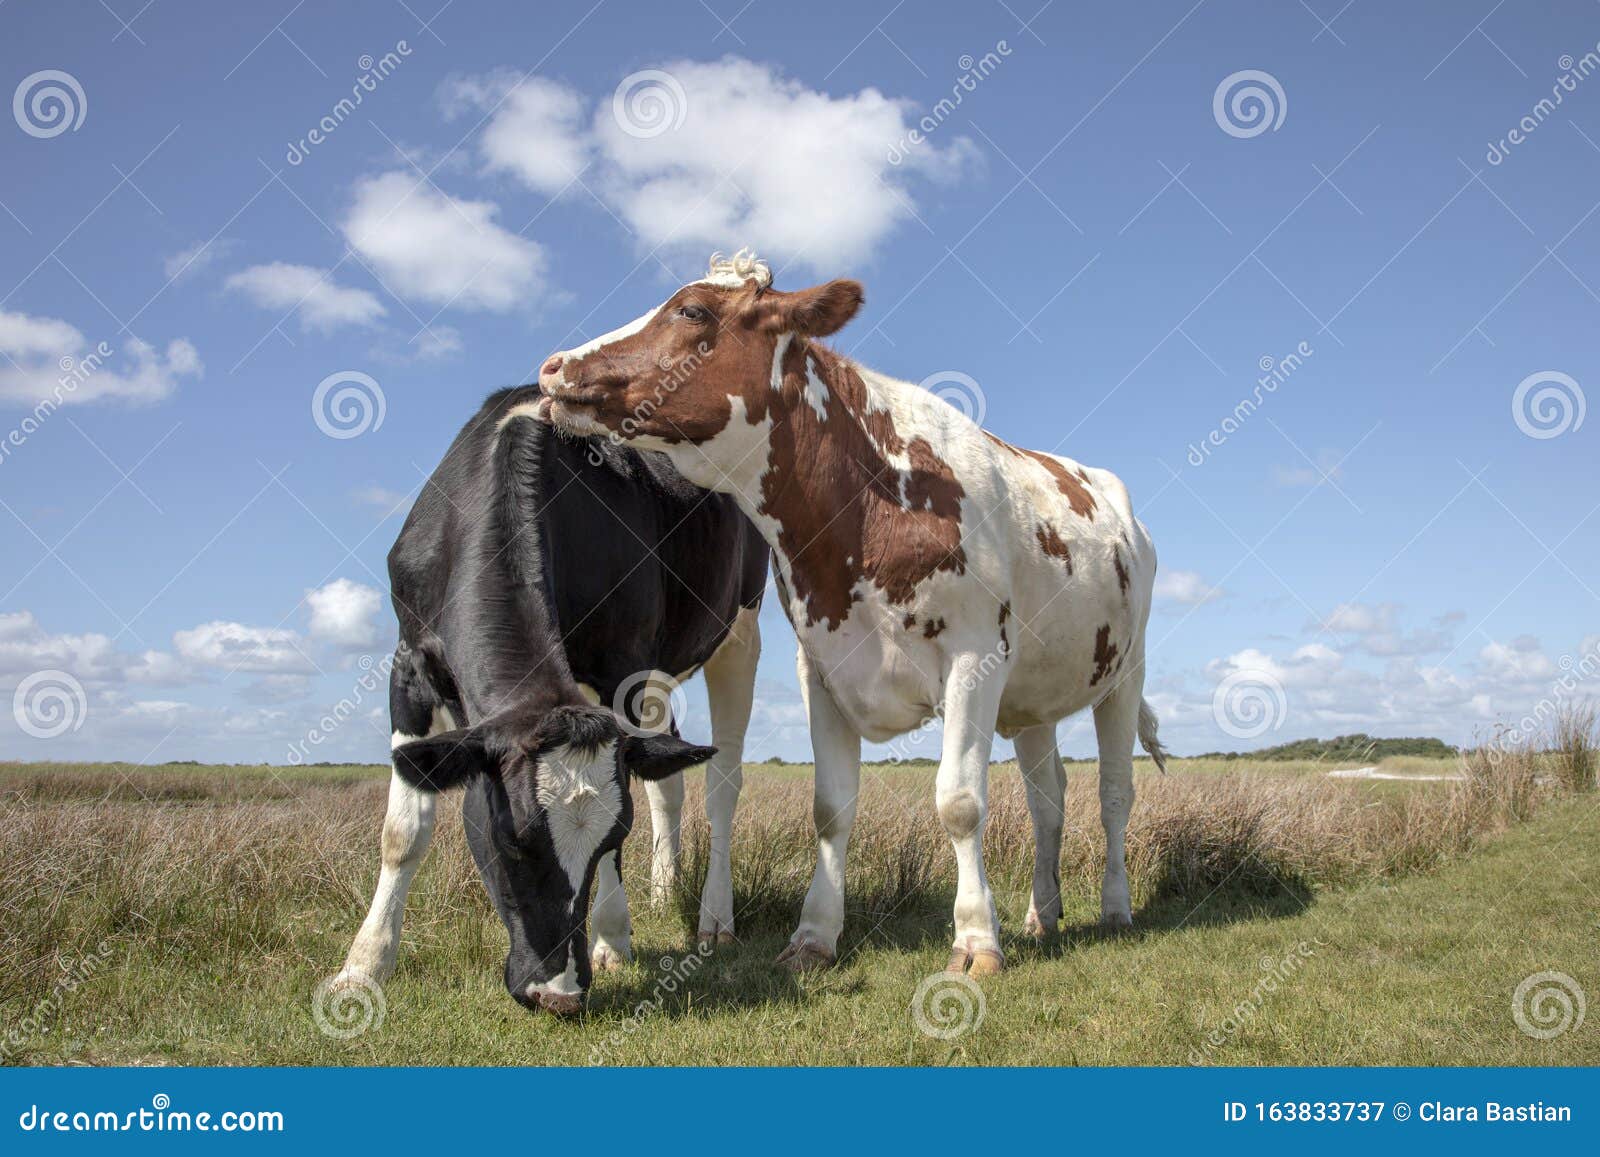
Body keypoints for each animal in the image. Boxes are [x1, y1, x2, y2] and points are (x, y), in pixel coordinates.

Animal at [337, 384, 768, 1011]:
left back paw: (715, 916)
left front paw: (613, 938)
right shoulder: (408, 662)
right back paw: (665, 892)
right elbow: (403, 830)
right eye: (510, 841)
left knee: (723, 781)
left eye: (613, 834)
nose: (557, 993)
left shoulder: (623, 666)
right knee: (668, 778)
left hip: (741, 631)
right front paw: (363, 965)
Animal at [531, 252, 1171, 979]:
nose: (553, 366)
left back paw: (1114, 908)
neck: (862, 509)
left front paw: (977, 939)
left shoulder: (974, 657)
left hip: (1125, 673)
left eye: (693, 310)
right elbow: (831, 808)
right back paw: (1043, 914)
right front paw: (814, 935)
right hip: (1033, 698)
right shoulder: (824, 667)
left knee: (1114, 792)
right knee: (1049, 799)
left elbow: (959, 801)